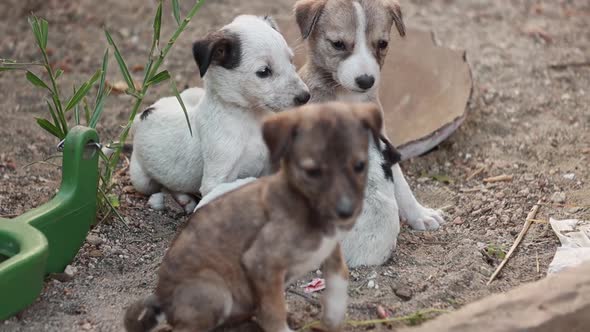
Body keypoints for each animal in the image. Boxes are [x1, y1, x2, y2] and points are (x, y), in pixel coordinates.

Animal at [125, 101, 388, 332]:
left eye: (360, 165)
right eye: (312, 171)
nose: (346, 212)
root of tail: (161, 299)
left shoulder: (331, 254)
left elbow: (338, 285)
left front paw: (332, 320)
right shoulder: (262, 263)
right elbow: (274, 311)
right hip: (214, 291)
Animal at [130, 15, 312, 213]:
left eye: (291, 60)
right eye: (264, 72)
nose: (306, 97)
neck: (250, 119)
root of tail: (142, 116)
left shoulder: (268, 164)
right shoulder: (215, 181)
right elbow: (235, 187)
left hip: (192, 93)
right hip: (142, 181)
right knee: (163, 186)